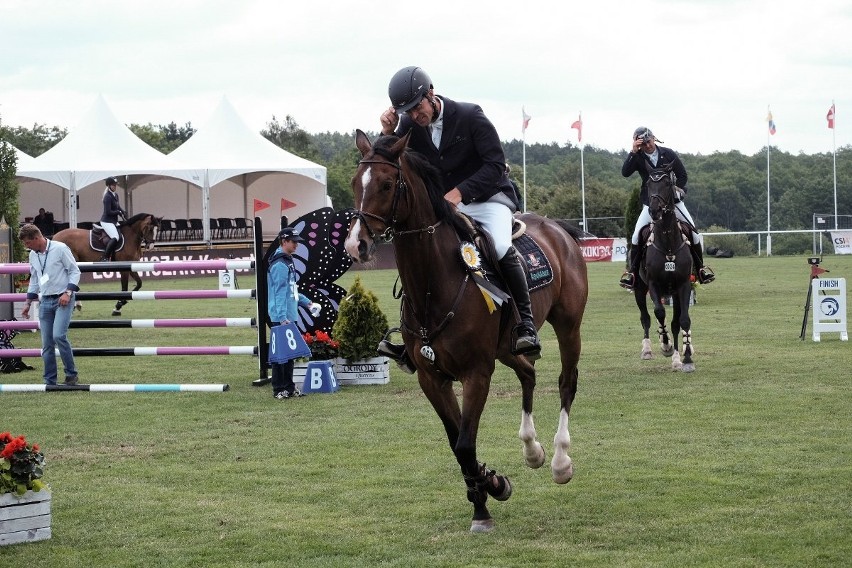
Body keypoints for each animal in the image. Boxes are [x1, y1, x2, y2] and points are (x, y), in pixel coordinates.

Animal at [342, 131, 588, 536]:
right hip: (507, 347)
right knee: (528, 372)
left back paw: (559, 461)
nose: (355, 245)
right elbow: (456, 440)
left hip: (568, 327)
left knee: (566, 382)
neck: (434, 286)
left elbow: (464, 443)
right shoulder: (432, 378)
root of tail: (556, 229)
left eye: (387, 184)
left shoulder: (476, 373)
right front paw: (490, 486)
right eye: (353, 184)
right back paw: (531, 450)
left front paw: (485, 501)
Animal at [632, 163, 692, 372]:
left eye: (667, 183)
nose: (655, 210)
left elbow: (682, 320)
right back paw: (647, 349)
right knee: (645, 317)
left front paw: (684, 358)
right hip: (639, 289)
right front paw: (666, 345)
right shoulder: (653, 284)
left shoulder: (683, 285)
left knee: (675, 321)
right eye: (649, 184)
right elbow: (659, 312)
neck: (668, 246)